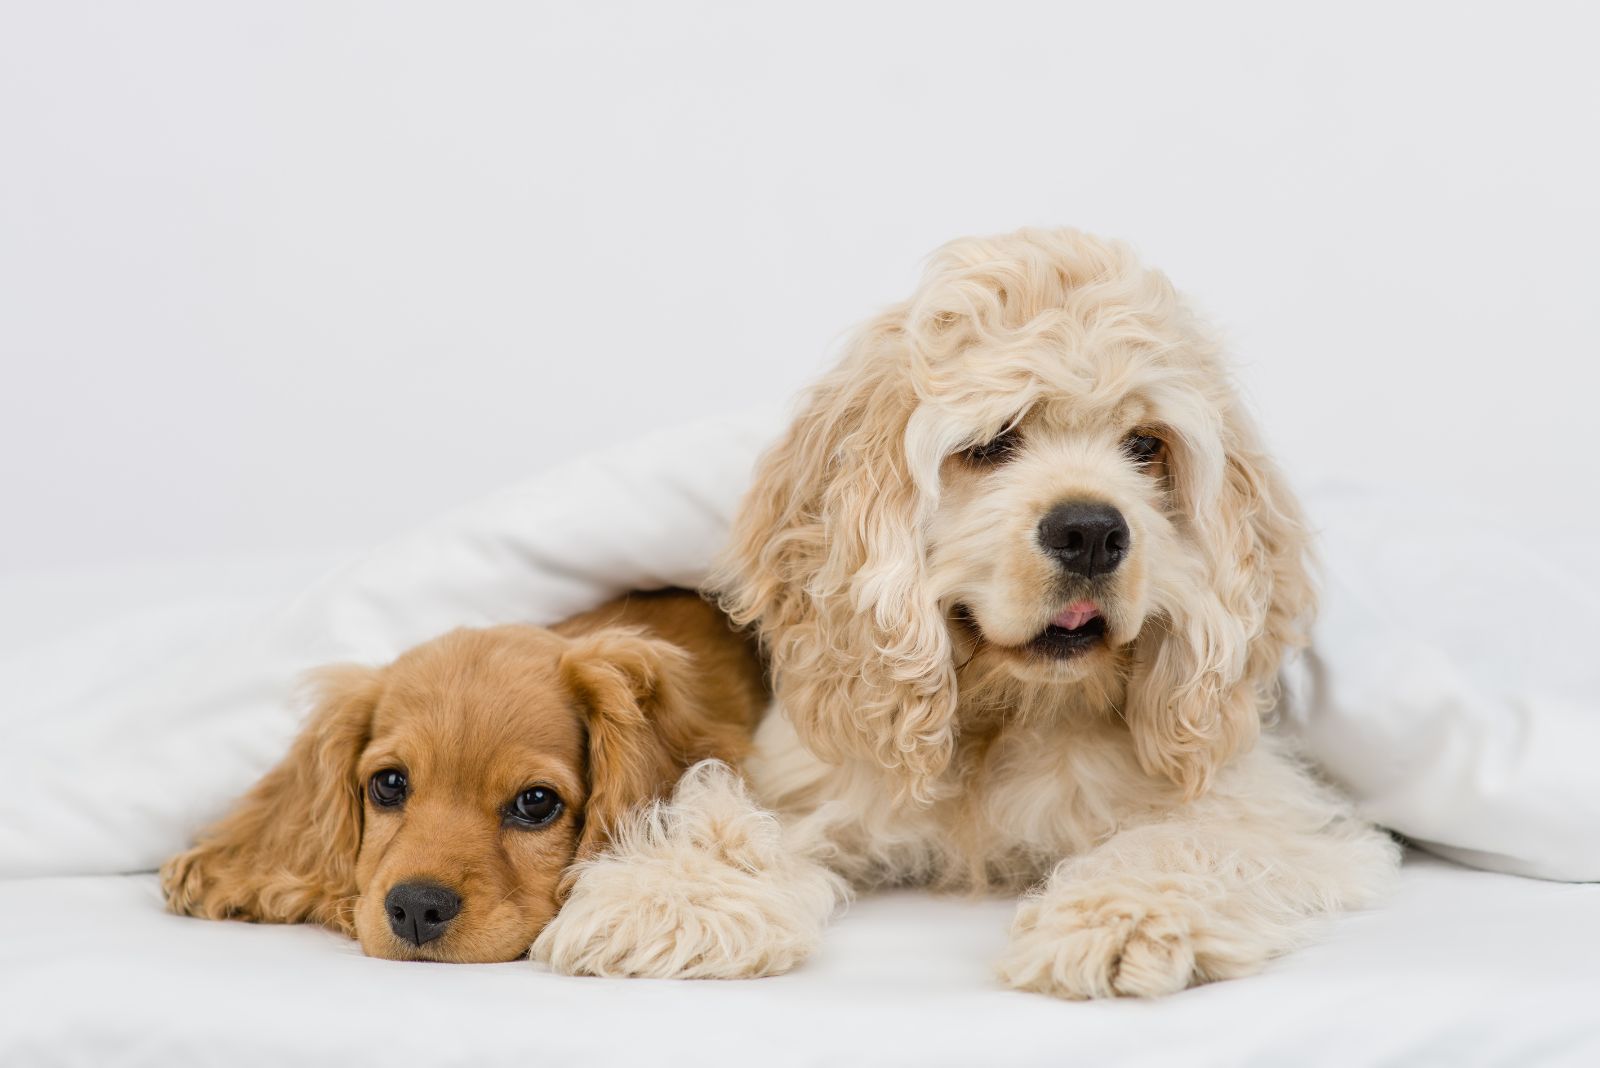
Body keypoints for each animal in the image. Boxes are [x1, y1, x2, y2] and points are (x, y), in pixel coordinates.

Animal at [531, 230, 1395, 997]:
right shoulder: (815, 772)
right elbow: (732, 819)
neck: (1007, 718)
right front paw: (668, 899)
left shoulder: (1264, 804)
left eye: (1147, 445)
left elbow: (1186, 843)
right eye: (991, 443)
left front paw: (1119, 921)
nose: (1091, 532)